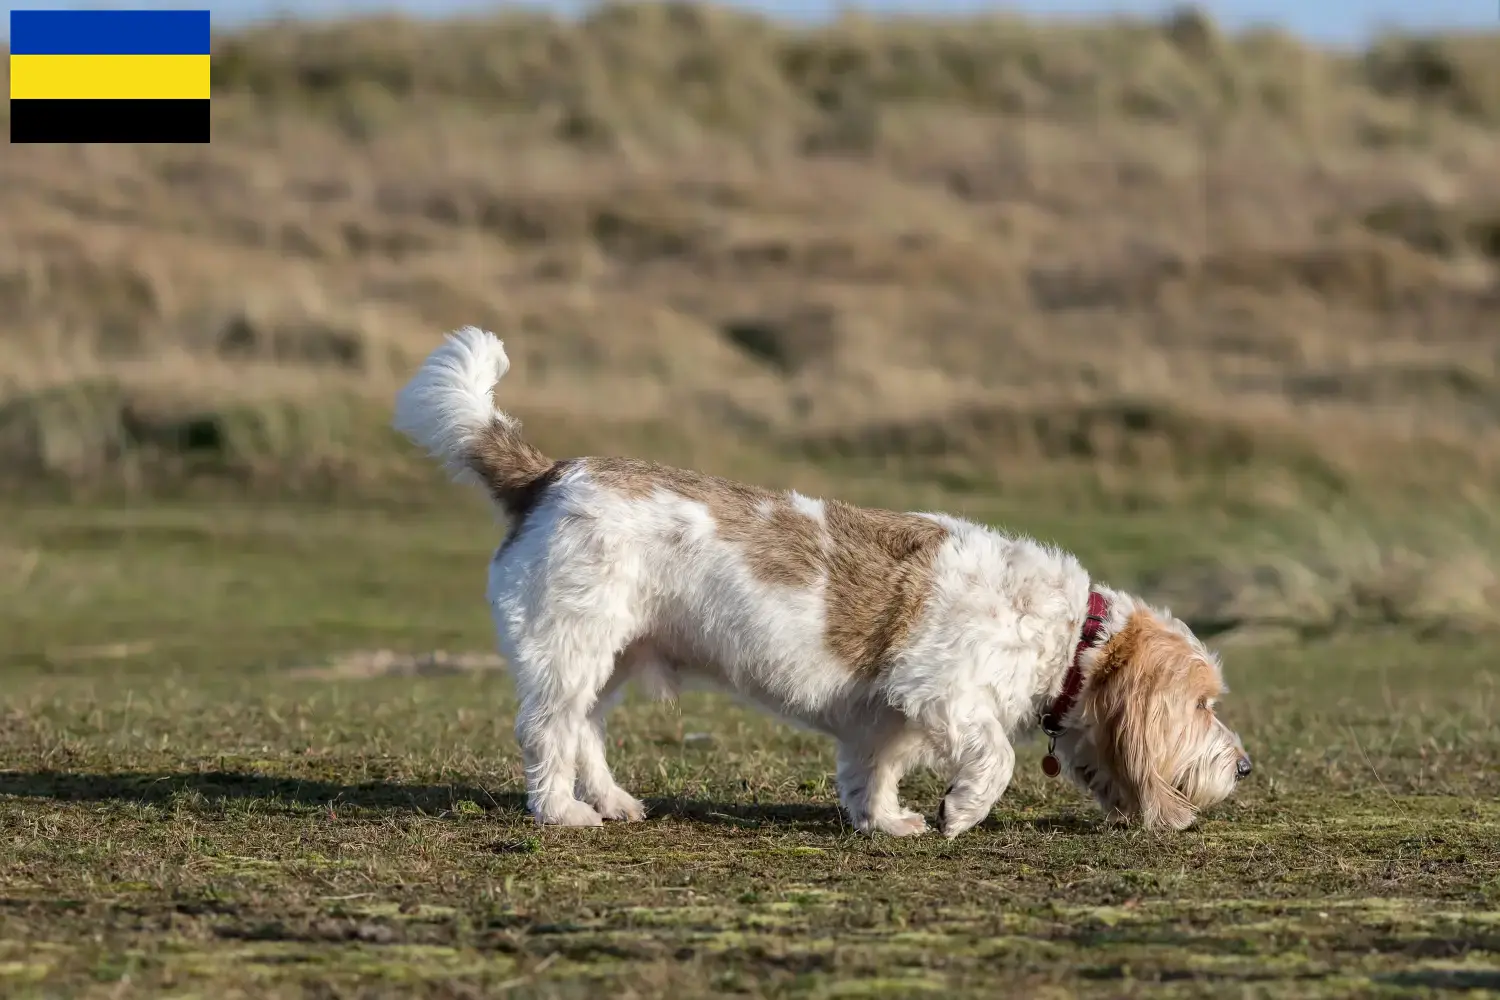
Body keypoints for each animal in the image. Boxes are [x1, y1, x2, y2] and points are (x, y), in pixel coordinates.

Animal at [393, 326, 1248, 839]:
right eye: (1203, 704)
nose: (1243, 767)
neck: (1070, 636)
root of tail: (548, 474)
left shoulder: (887, 716)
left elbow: (875, 771)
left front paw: (887, 820)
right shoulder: (946, 693)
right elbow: (993, 759)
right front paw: (960, 811)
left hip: (610, 661)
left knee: (585, 734)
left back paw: (610, 800)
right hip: (569, 653)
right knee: (548, 732)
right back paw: (562, 811)